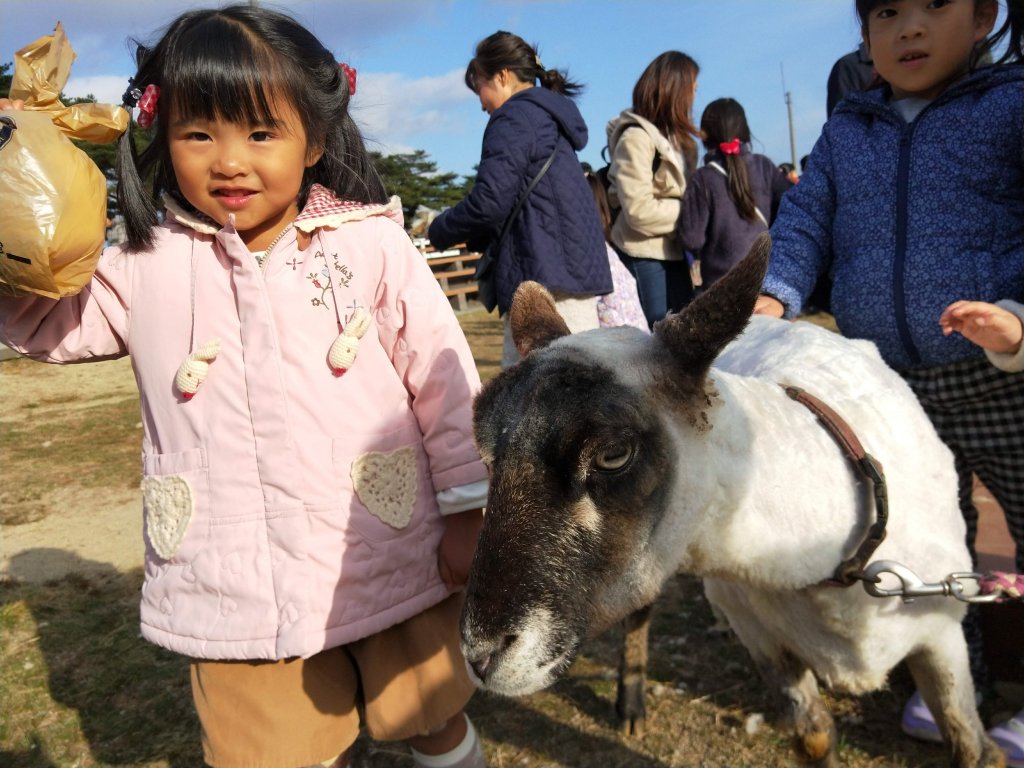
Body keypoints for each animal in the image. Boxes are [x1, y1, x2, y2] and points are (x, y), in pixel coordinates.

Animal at [460, 235, 1003, 767]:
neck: (828, 553)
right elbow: (815, 738)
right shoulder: (764, 639)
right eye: (484, 453)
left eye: (613, 455)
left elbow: (972, 746)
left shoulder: (943, 634)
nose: (479, 657)